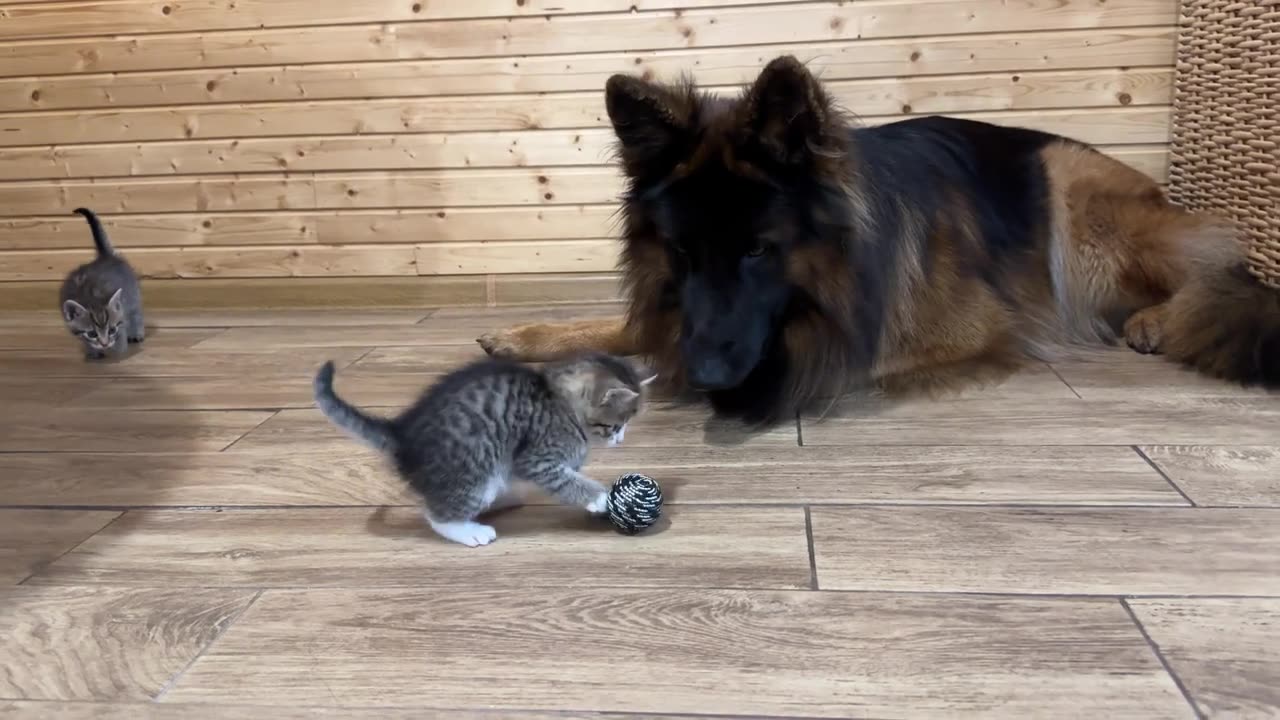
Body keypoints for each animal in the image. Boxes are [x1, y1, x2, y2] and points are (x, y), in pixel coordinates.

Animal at [58, 207, 144, 358]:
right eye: (92, 334)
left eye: (112, 330)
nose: (105, 344)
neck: (91, 297)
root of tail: (105, 257)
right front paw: (93, 352)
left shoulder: (122, 312)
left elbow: (122, 331)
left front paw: (119, 350)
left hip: (133, 296)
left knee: (136, 312)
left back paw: (136, 333)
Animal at [313, 351, 655, 543]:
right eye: (615, 425)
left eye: (627, 424)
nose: (621, 440)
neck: (559, 401)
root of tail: (402, 435)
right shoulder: (537, 457)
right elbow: (565, 479)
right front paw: (599, 497)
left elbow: (570, 476)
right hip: (472, 471)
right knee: (437, 514)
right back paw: (468, 531)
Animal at [481, 56, 1280, 422]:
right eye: (682, 254)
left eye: (758, 250)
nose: (706, 375)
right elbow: (628, 324)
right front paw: (527, 336)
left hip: (1072, 189)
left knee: (1212, 268)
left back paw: (1155, 319)